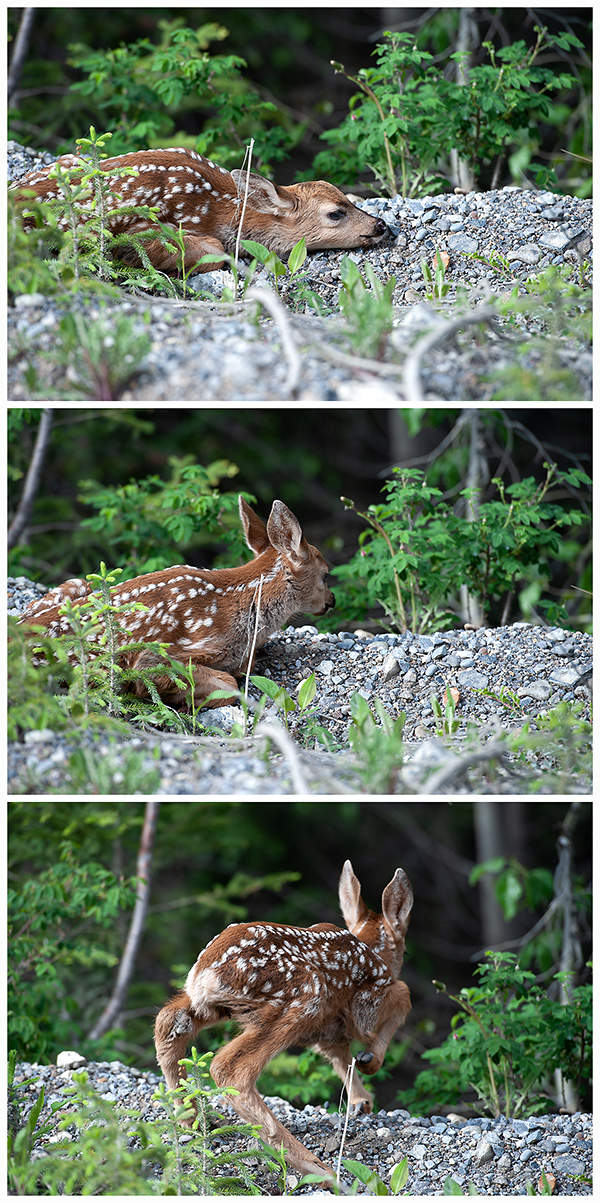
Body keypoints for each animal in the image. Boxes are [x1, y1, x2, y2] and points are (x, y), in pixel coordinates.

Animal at [18, 496, 335, 710]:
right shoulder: (160, 656)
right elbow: (228, 683)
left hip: (77, 584)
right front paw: (180, 701)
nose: (331, 602)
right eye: (326, 574)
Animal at [154, 860, 413, 1188]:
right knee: (231, 1069)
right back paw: (319, 1170)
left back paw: (189, 1119)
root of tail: (205, 974)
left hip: (212, 1006)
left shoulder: (328, 1033)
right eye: (404, 948)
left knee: (168, 1023)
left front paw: (361, 1101)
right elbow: (404, 996)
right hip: (304, 997)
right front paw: (370, 1063)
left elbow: (340, 1056)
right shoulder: (367, 1004)